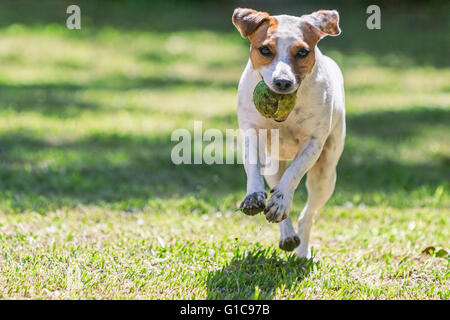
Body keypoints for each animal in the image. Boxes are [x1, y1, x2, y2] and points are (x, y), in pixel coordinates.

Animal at [232, 7, 344, 258]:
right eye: (265, 49)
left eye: (302, 52)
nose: (283, 82)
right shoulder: (251, 131)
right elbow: (252, 167)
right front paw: (254, 196)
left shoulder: (313, 143)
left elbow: (293, 174)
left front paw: (281, 199)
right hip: (274, 165)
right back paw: (288, 235)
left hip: (325, 175)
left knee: (307, 214)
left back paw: (301, 250)